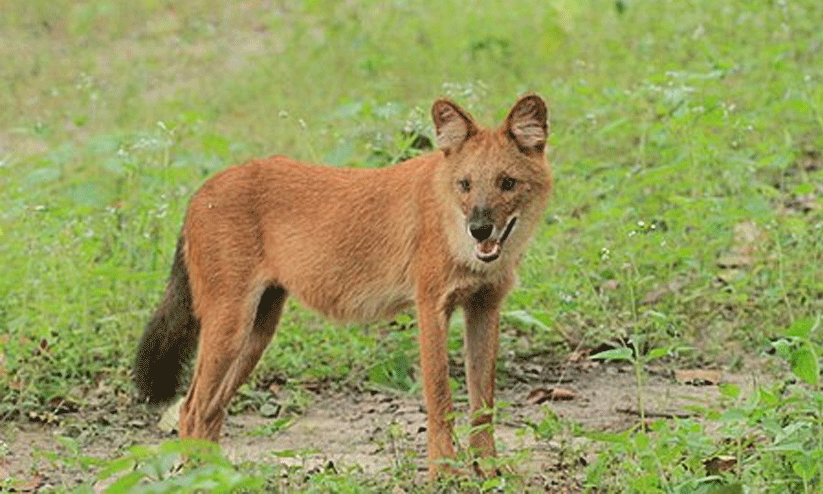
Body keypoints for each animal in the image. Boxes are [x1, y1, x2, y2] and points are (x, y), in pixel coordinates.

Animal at [133, 94, 552, 476]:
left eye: (507, 183)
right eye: (465, 185)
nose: (480, 228)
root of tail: (200, 191)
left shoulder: (484, 308)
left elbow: (484, 402)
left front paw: (491, 472)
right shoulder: (430, 307)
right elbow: (440, 399)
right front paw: (445, 475)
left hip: (259, 330)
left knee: (211, 409)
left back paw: (219, 476)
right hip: (230, 325)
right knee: (191, 408)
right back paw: (196, 478)